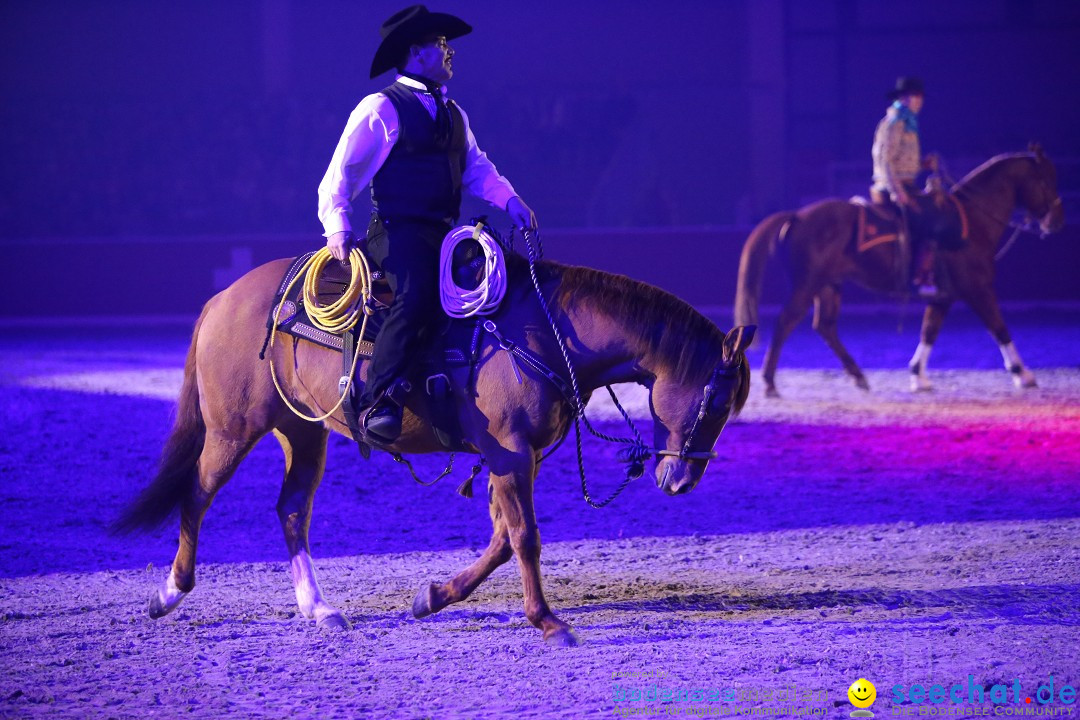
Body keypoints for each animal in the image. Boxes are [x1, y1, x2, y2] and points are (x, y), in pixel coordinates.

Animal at [113, 254, 756, 647]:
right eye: (717, 402)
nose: (680, 480)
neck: (543, 334)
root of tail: (223, 298)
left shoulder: (511, 459)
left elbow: (502, 540)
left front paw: (433, 597)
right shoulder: (509, 454)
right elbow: (525, 538)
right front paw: (549, 622)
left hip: (304, 431)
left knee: (291, 509)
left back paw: (319, 609)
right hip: (232, 429)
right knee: (196, 495)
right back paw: (169, 593)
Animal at [734, 144, 1062, 397]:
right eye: (1046, 180)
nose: (1056, 221)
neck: (972, 221)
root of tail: (798, 216)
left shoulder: (943, 296)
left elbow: (929, 331)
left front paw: (918, 376)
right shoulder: (977, 288)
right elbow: (999, 327)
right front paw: (1023, 374)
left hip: (828, 285)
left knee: (825, 326)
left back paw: (859, 377)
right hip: (807, 284)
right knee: (785, 322)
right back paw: (770, 383)